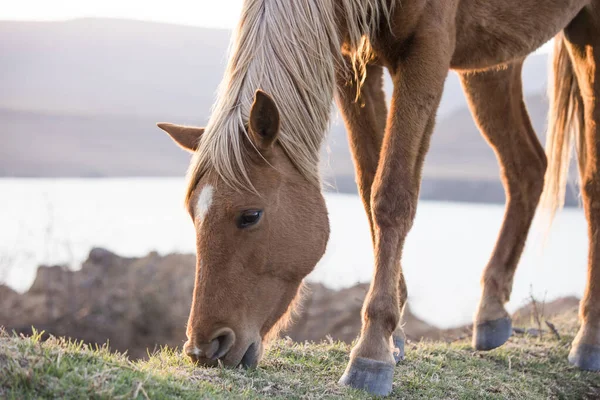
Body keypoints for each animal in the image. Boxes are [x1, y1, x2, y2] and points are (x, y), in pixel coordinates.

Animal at [156, 0, 600, 394]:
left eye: (250, 215)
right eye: (193, 214)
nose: (205, 349)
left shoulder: (428, 48)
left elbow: (391, 194)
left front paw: (371, 352)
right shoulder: (353, 63)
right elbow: (370, 183)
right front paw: (394, 335)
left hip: (585, 38)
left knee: (589, 183)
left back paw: (589, 336)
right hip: (494, 60)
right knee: (526, 169)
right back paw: (491, 312)